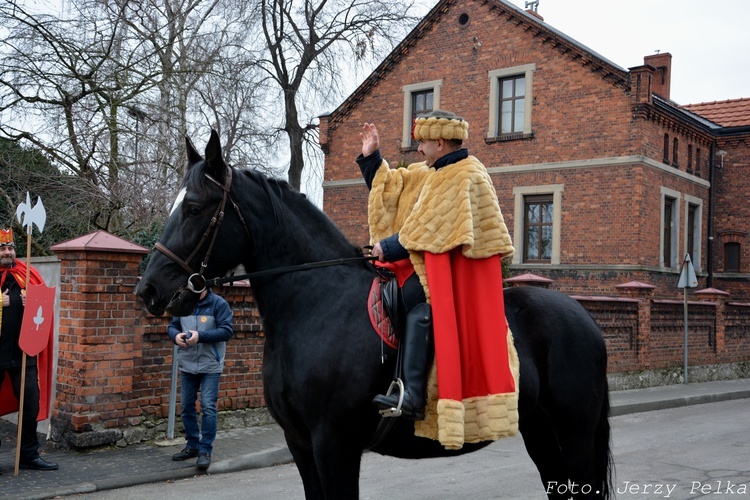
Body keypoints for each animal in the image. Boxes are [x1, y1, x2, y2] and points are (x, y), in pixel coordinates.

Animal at [138, 131, 612, 498]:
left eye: (194, 207)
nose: (150, 290)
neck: (316, 305)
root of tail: (584, 318)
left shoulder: (335, 446)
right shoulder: (300, 445)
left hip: (573, 431)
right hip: (541, 430)